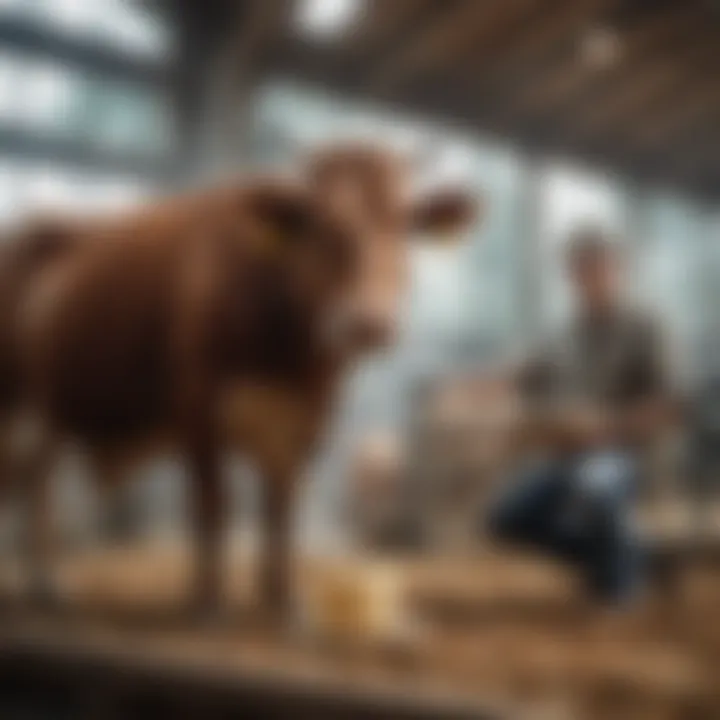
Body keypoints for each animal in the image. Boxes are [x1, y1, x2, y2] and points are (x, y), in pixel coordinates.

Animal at [5, 143, 480, 620]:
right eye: (323, 226)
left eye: (404, 227)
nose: (368, 323)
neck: (287, 354)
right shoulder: (197, 410)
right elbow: (216, 505)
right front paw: (209, 602)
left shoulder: (307, 421)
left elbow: (280, 510)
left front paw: (283, 601)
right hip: (24, 404)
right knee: (34, 481)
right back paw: (44, 583)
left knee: (34, 479)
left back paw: (46, 583)